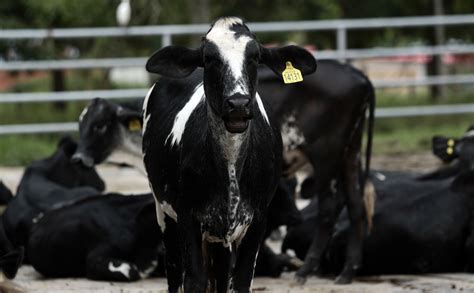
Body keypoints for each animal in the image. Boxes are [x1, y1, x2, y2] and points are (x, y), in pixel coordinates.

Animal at [143, 17, 316, 290]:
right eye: (209, 57)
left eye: (255, 57)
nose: (238, 103)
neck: (231, 165)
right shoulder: (187, 217)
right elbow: (194, 280)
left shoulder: (257, 221)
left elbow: (241, 279)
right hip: (165, 213)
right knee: (174, 272)